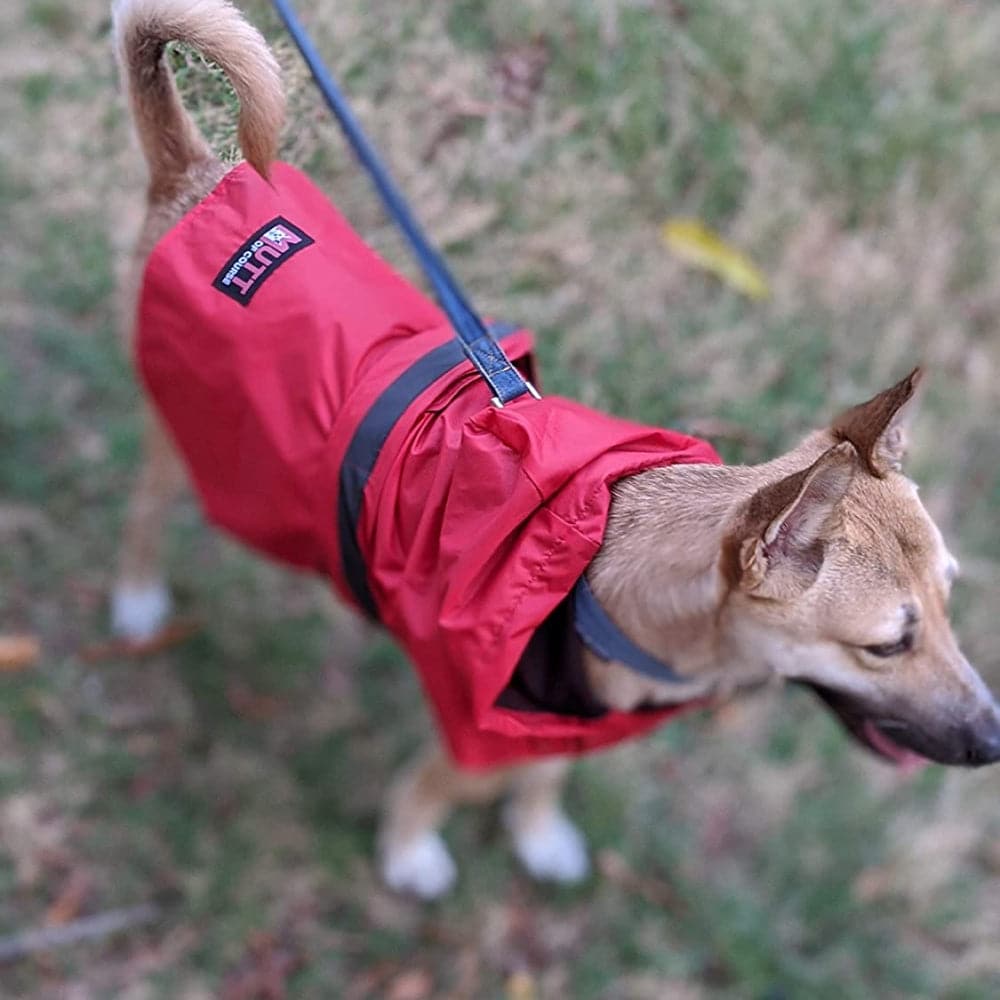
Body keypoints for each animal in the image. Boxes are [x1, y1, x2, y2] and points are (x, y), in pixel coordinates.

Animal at [109, 0, 1000, 900]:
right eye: (886, 645)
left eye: (951, 600)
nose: (994, 742)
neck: (617, 599)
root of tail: (195, 177)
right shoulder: (482, 729)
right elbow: (439, 785)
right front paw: (409, 849)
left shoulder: (571, 726)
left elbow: (548, 776)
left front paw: (536, 833)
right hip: (196, 432)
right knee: (147, 503)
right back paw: (139, 594)